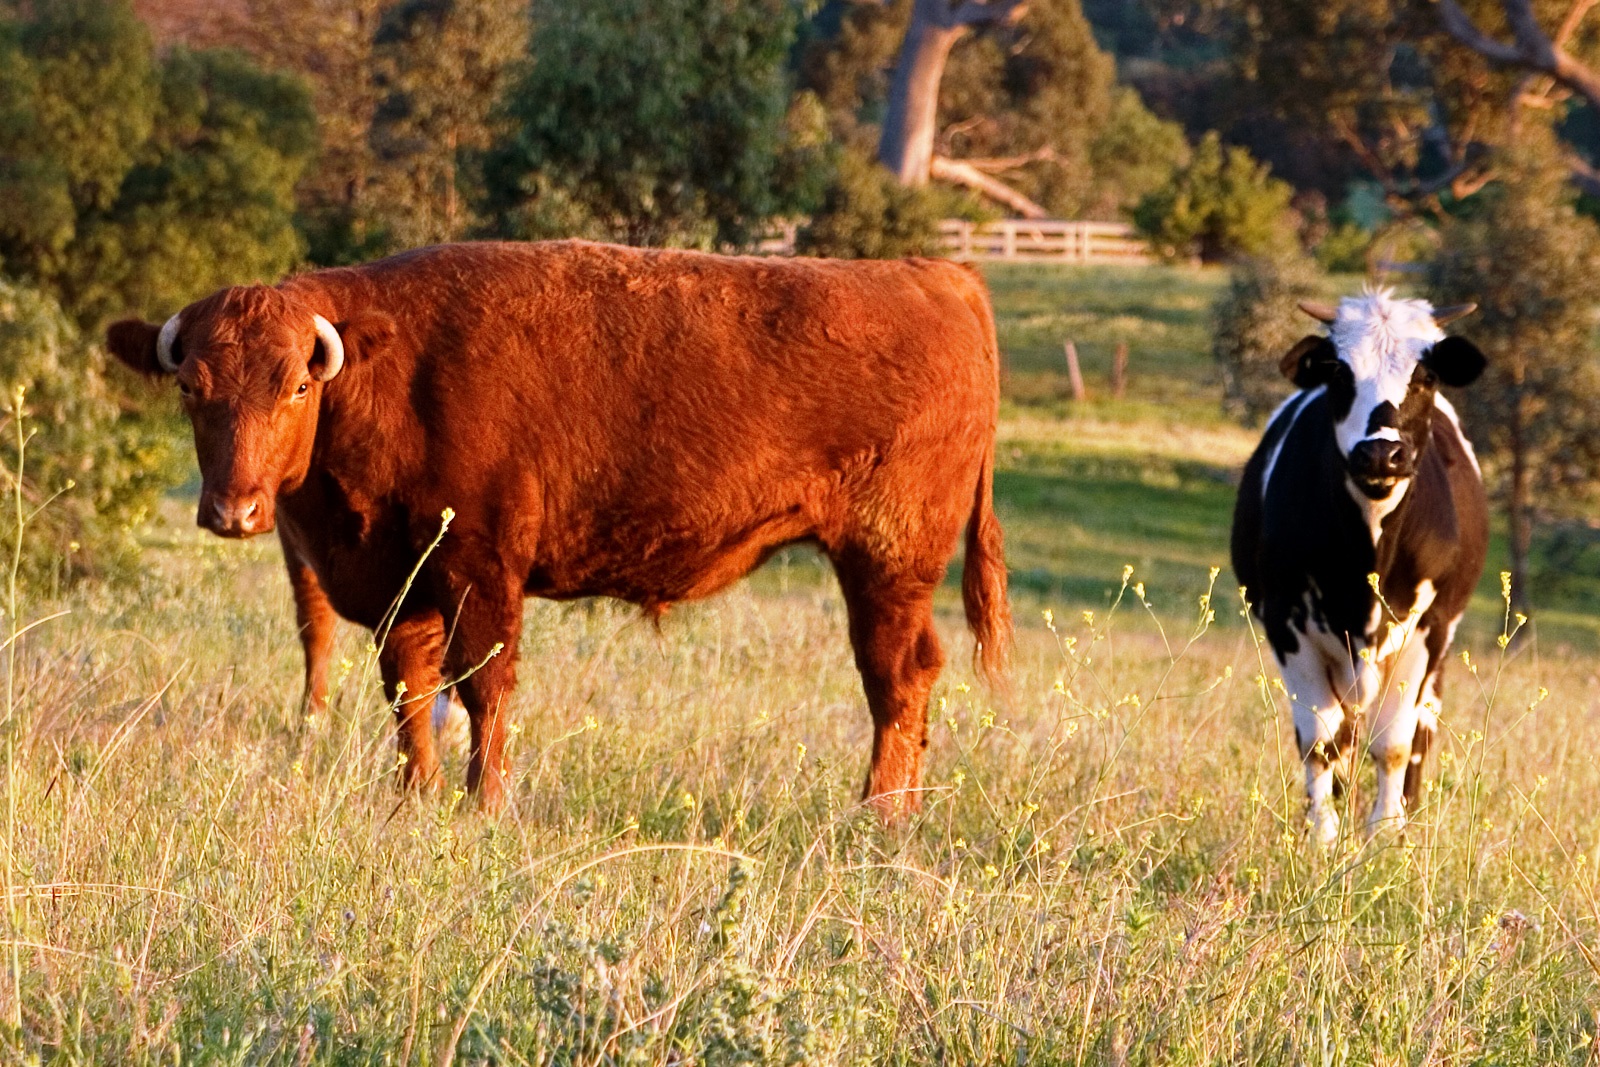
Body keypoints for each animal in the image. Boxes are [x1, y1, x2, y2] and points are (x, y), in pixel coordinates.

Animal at [109, 241, 1011, 812]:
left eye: (298, 383)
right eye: (191, 385)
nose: (234, 510)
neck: (388, 371)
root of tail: (940, 277)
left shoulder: (480, 570)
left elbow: (485, 685)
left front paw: (485, 802)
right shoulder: (406, 587)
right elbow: (412, 690)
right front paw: (415, 794)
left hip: (886, 563)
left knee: (897, 676)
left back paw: (878, 815)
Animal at [1235, 289, 1484, 844]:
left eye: (1426, 374)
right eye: (1339, 373)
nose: (1380, 453)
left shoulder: (1427, 629)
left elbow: (1394, 743)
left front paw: (1387, 833)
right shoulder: (1288, 624)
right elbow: (1319, 739)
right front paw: (1323, 833)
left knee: (1420, 730)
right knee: (1344, 734)